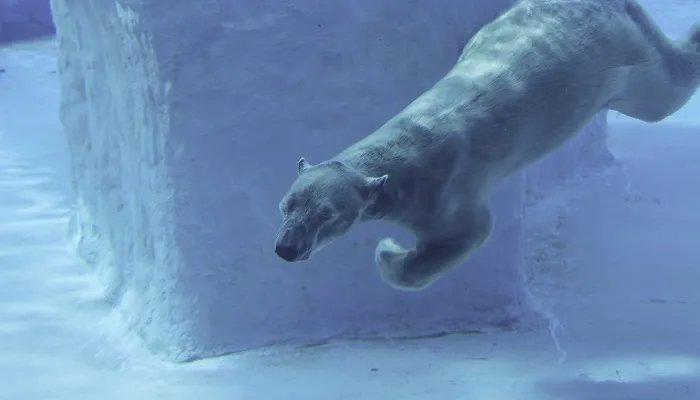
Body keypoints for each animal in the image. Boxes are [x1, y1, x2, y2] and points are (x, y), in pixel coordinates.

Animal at [274, 0, 700, 290]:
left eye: (328, 214)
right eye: (286, 205)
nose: (287, 249)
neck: (399, 152)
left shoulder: (441, 194)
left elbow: (469, 233)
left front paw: (389, 249)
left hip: (626, 60)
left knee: (664, 92)